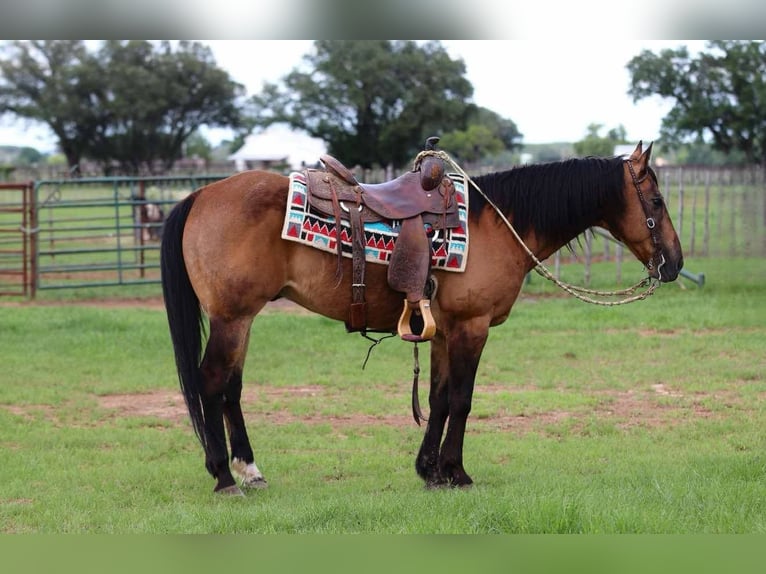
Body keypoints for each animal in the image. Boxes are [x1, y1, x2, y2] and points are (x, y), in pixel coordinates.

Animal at [160, 141, 683, 495]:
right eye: (657, 202)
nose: (673, 264)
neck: (496, 224)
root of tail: (200, 196)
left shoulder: (443, 332)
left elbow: (438, 399)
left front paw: (429, 470)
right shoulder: (472, 327)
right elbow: (463, 400)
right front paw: (456, 472)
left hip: (241, 321)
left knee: (231, 388)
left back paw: (250, 470)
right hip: (232, 318)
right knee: (212, 383)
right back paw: (223, 475)